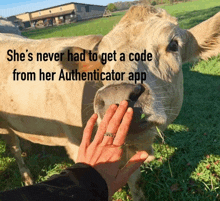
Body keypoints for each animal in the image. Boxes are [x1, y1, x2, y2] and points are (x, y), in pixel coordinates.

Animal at [0, 5, 219, 201]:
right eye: (103, 58)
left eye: (173, 45)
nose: (117, 96)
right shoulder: (77, 146)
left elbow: (135, 182)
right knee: (15, 150)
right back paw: (27, 176)